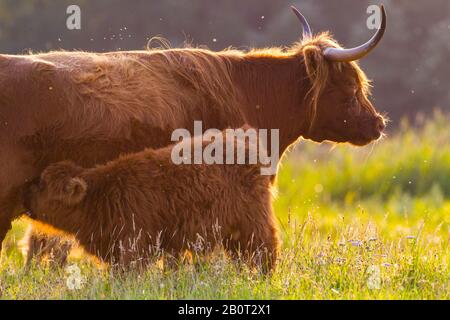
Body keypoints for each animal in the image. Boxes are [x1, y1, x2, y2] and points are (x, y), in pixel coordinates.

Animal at [24, 129, 280, 272]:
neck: (101, 194)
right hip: (232, 234)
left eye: (43, 185)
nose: (25, 193)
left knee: (266, 250)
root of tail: (241, 138)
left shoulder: (135, 245)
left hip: (253, 224)